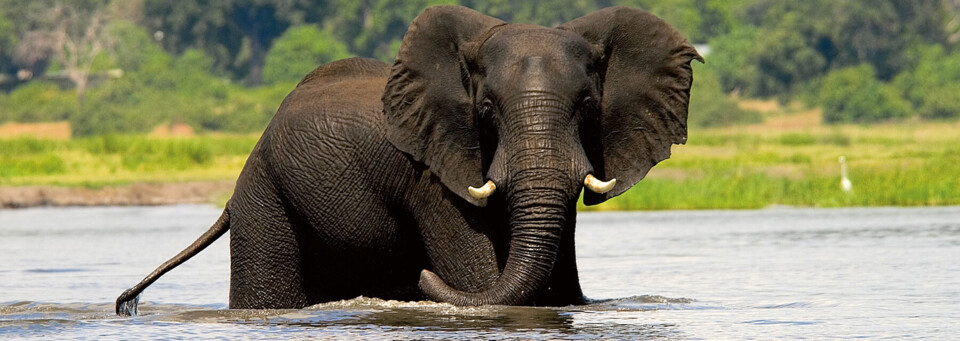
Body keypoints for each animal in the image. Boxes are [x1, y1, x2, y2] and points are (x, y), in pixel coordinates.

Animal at [114, 5, 696, 314]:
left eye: (589, 107)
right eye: (486, 109)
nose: (419, 278)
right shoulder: (431, 176)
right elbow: (478, 275)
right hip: (265, 193)